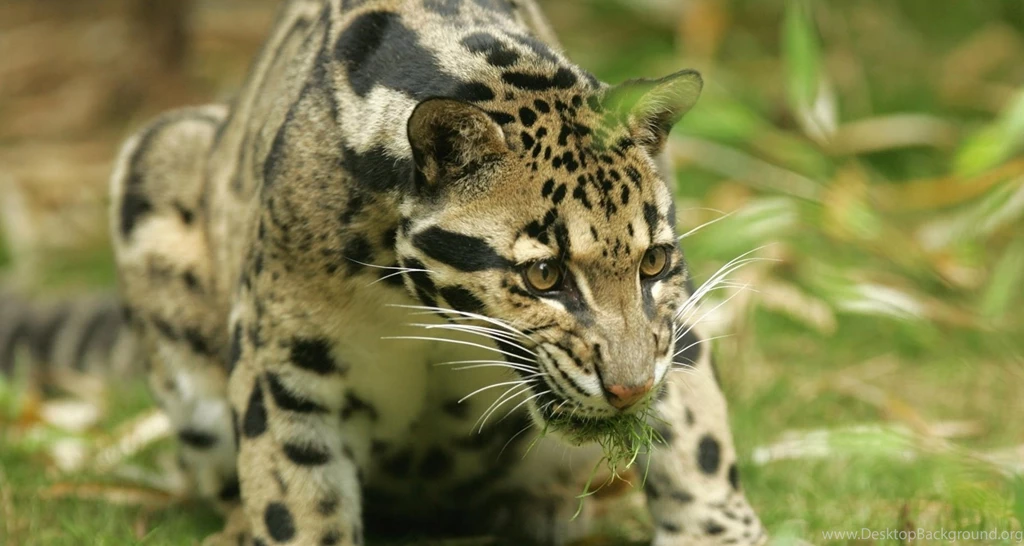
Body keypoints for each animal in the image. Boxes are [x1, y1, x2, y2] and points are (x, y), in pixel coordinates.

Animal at [101, 0, 772, 544]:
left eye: (653, 262)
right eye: (544, 276)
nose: (630, 390)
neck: (417, 303)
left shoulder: (672, 325)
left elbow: (699, 438)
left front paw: (717, 532)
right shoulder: (284, 366)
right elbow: (295, 505)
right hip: (161, 153)